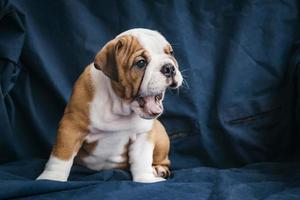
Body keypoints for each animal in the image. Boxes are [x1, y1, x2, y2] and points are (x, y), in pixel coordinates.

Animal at [37, 28, 183, 183]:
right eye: (141, 63)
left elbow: (141, 160)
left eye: (170, 53)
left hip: (160, 135)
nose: (169, 67)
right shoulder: (71, 126)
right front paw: (51, 178)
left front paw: (146, 179)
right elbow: (61, 155)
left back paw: (159, 169)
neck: (118, 106)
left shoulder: (143, 134)